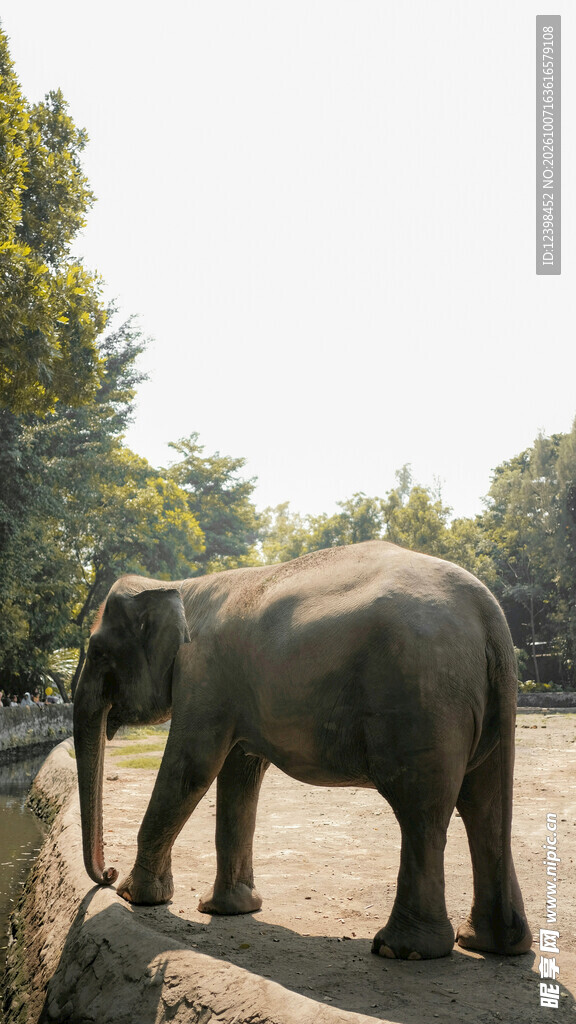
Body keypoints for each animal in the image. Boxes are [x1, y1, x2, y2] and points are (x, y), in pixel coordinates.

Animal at [73, 540, 532, 961]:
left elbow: (193, 767)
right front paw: (227, 910)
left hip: (420, 699)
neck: (183, 587)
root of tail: (490, 615)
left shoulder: (203, 673)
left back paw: (400, 949)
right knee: (484, 806)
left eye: (96, 651)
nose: (107, 872)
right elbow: (239, 774)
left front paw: (135, 897)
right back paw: (492, 944)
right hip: (478, 702)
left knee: (422, 810)